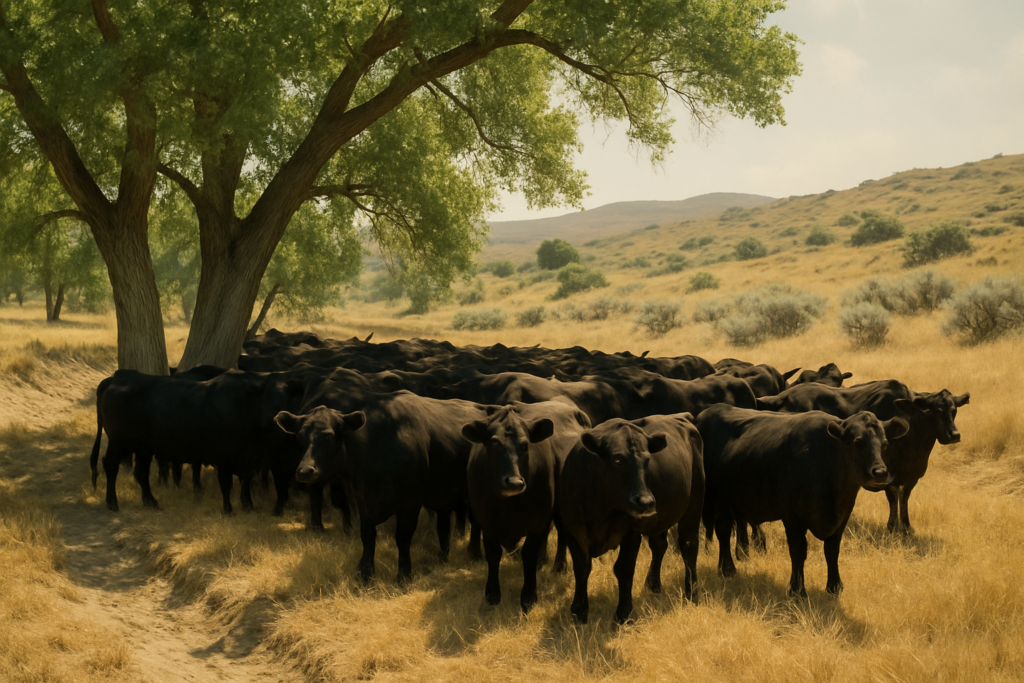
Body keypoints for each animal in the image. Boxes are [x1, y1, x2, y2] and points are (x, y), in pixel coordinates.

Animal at [462, 401, 591, 612]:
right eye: (495, 443)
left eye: (525, 444)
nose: (514, 482)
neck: (509, 505)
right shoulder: (487, 522)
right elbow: (493, 553)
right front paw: (492, 593)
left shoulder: (539, 523)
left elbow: (529, 554)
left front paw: (529, 596)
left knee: (562, 536)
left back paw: (559, 565)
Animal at [556, 414, 704, 623]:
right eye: (618, 459)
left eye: (647, 460)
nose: (646, 502)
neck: (601, 507)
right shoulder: (573, 531)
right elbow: (582, 568)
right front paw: (579, 610)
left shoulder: (631, 533)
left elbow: (624, 569)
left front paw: (624, 613)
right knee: (659, 545)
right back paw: (653, 584)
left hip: (694, 505)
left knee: (689, 546)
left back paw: (692, 593)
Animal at [697, 405, 908, 597]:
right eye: (858, 442)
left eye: (885, 444)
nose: (880, 472)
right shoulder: (793, 517)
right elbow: (798, 552)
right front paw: (797, 590)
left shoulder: (842, 517)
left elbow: (832, 550)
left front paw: (834, 586)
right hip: (716, 500)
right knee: (723, 533)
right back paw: (728, 569)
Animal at [756, 380, 969, 533]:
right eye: (936, 409)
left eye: (954, 410)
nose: (954, 435)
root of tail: (782, 396)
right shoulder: (886, 472)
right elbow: (893, 497)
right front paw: (892, 526)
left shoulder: (911, 477)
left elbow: (904, 498)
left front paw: (907, 526)